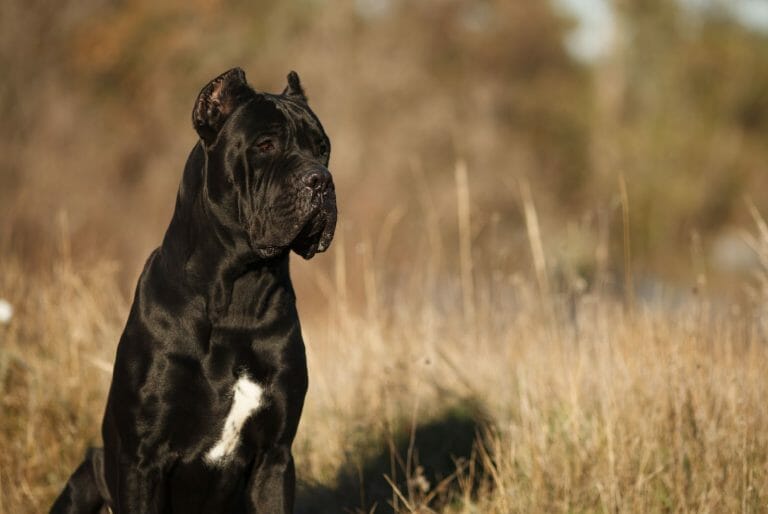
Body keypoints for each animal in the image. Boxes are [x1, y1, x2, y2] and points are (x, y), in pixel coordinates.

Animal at [49, 68, 334, 512]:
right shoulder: (141, 459)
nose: (320, 179)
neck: (239, 291)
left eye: (322, 149)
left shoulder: (275, 456)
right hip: (86, 477)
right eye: (265, 145)